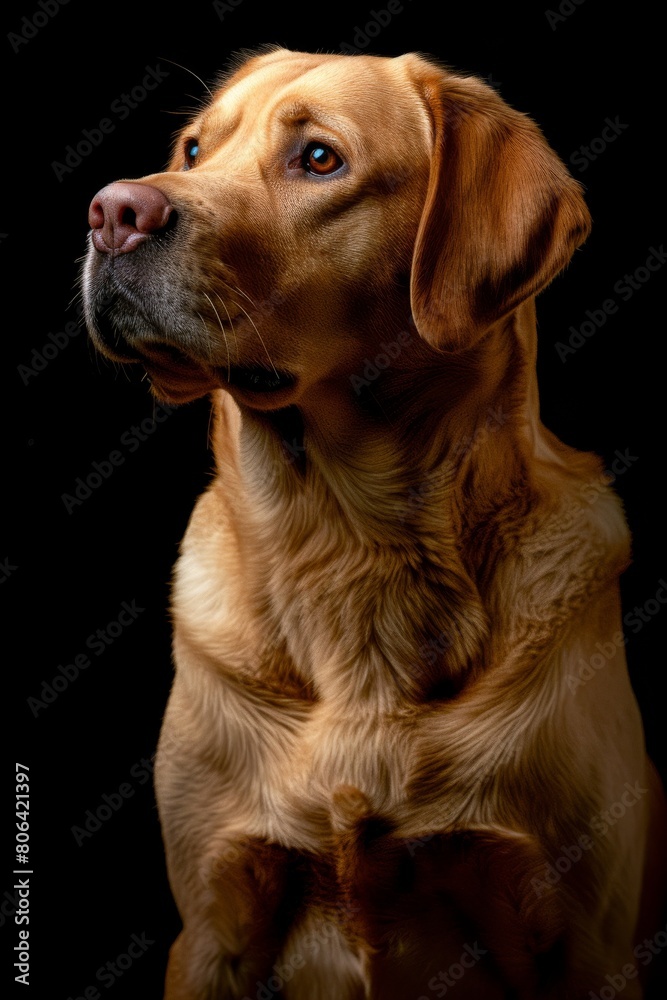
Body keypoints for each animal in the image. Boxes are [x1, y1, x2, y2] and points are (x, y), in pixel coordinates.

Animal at [83, 45, 667, 1000]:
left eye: (319, 159)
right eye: (196, 149)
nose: (112, 213)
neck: (345, 543)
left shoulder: (589, 948)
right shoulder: (210, 929)